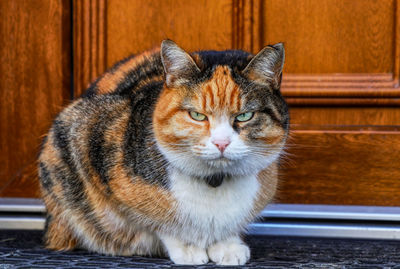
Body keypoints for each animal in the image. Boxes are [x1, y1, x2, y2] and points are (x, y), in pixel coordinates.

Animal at [38, 39, 288, 264]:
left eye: (245, 116)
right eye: (197, 115)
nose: (221, 143)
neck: (215, 181)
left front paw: (227, 246)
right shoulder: (88, 134)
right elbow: (160, 223)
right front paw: (187, 248)